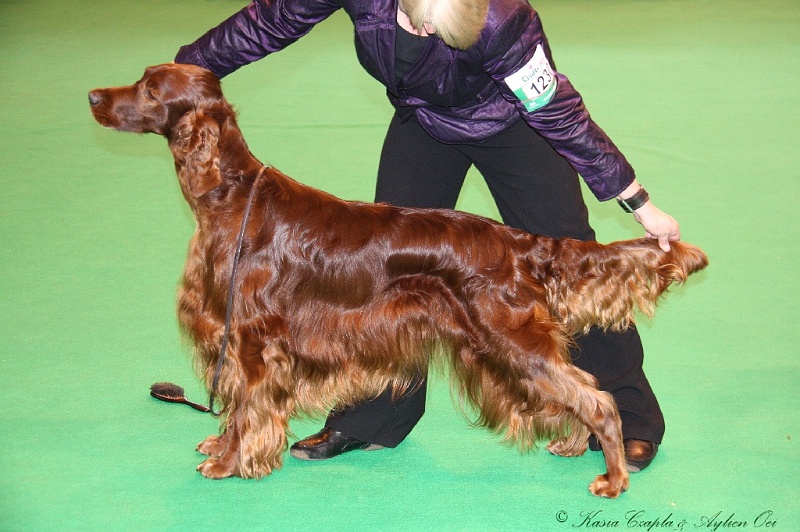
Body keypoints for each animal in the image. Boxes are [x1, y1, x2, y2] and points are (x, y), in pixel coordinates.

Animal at [89, 63, 708, 498]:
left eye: (150, 89)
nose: (94, 96)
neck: (230, 194)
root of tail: (521, 243)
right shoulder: (240, 338)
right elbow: (239, 405)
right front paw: (223, 446)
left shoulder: (253, 338)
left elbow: (247, 407)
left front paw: (227, 462)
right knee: (572, 393)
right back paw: (574, 446)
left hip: (509, 339)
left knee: (595, 396)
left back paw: (613, 478)